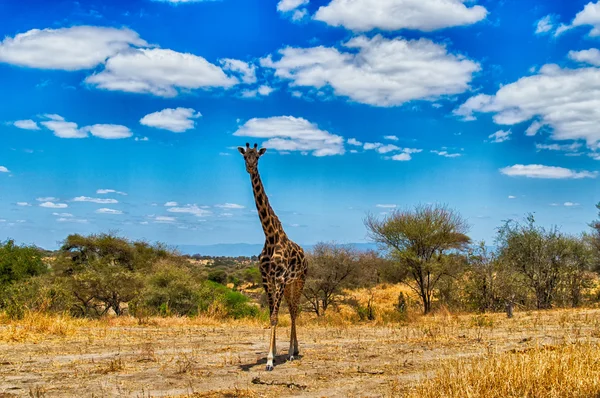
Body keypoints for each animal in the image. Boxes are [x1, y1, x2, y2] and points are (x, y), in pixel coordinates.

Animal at [237, 142, 308, 370]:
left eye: (257, 157)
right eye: (245, 156)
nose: (250, 167)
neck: (270, 236)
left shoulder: (281, 277)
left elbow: (276, 317)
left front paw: (269, 360)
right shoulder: (267, 279)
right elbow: (271, 315)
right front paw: (274, 353)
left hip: (299, 280)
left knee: (294, 310)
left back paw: (294, 352)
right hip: (289, 284)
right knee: (291, 309)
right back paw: (292, 350)